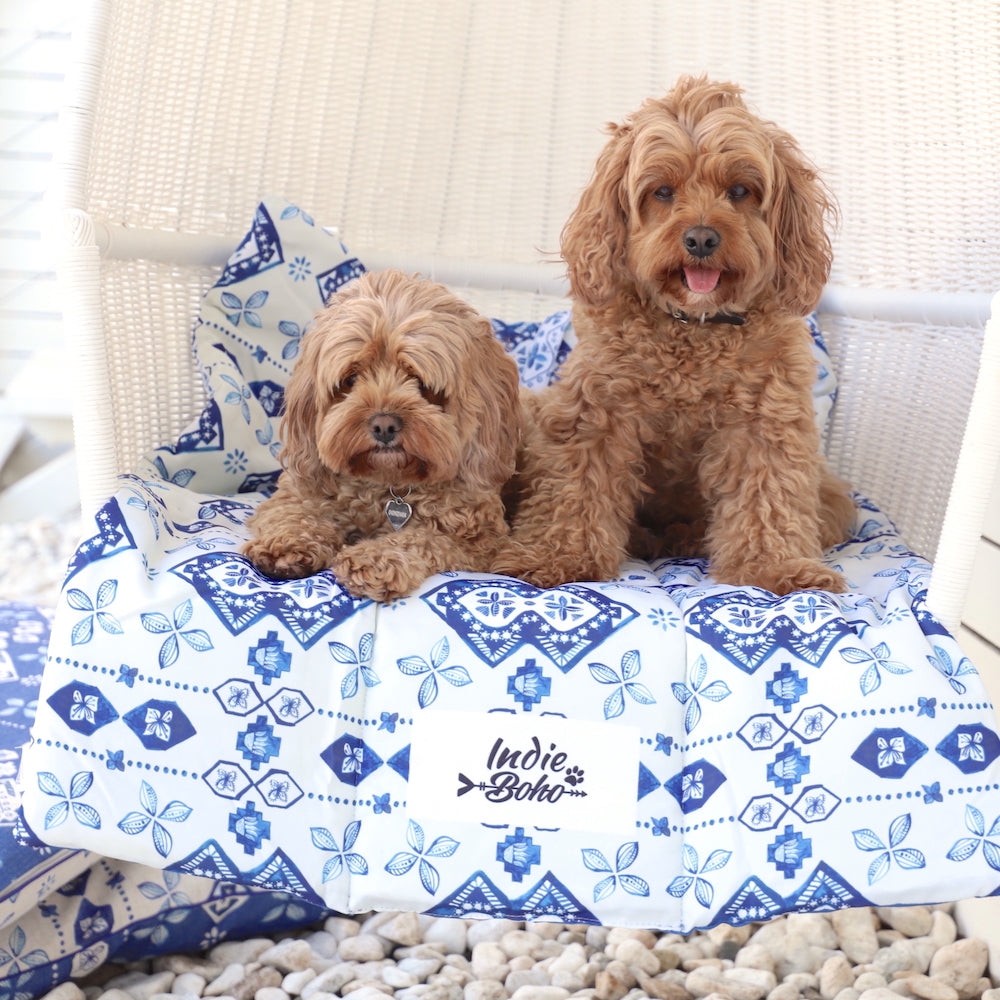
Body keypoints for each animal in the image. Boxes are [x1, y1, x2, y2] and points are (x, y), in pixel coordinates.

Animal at [243, 268, 524, 600]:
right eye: (350, 379)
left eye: (421, 383)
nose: (384, 425)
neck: (389, 486)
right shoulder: (296, 494)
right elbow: (291, 514)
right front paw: (286, 545)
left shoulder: (480, 539)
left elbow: (422, 539)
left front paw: (374, 558)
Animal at [500, 78, 852, 596]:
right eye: (662, 191)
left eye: (740, 190)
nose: (701, 238)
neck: (693, 329)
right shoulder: (596, 414)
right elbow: (576, 489)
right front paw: (557, 556)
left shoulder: (762, 424)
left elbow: (765, 496)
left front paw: (772, 568)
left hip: (829, 492)